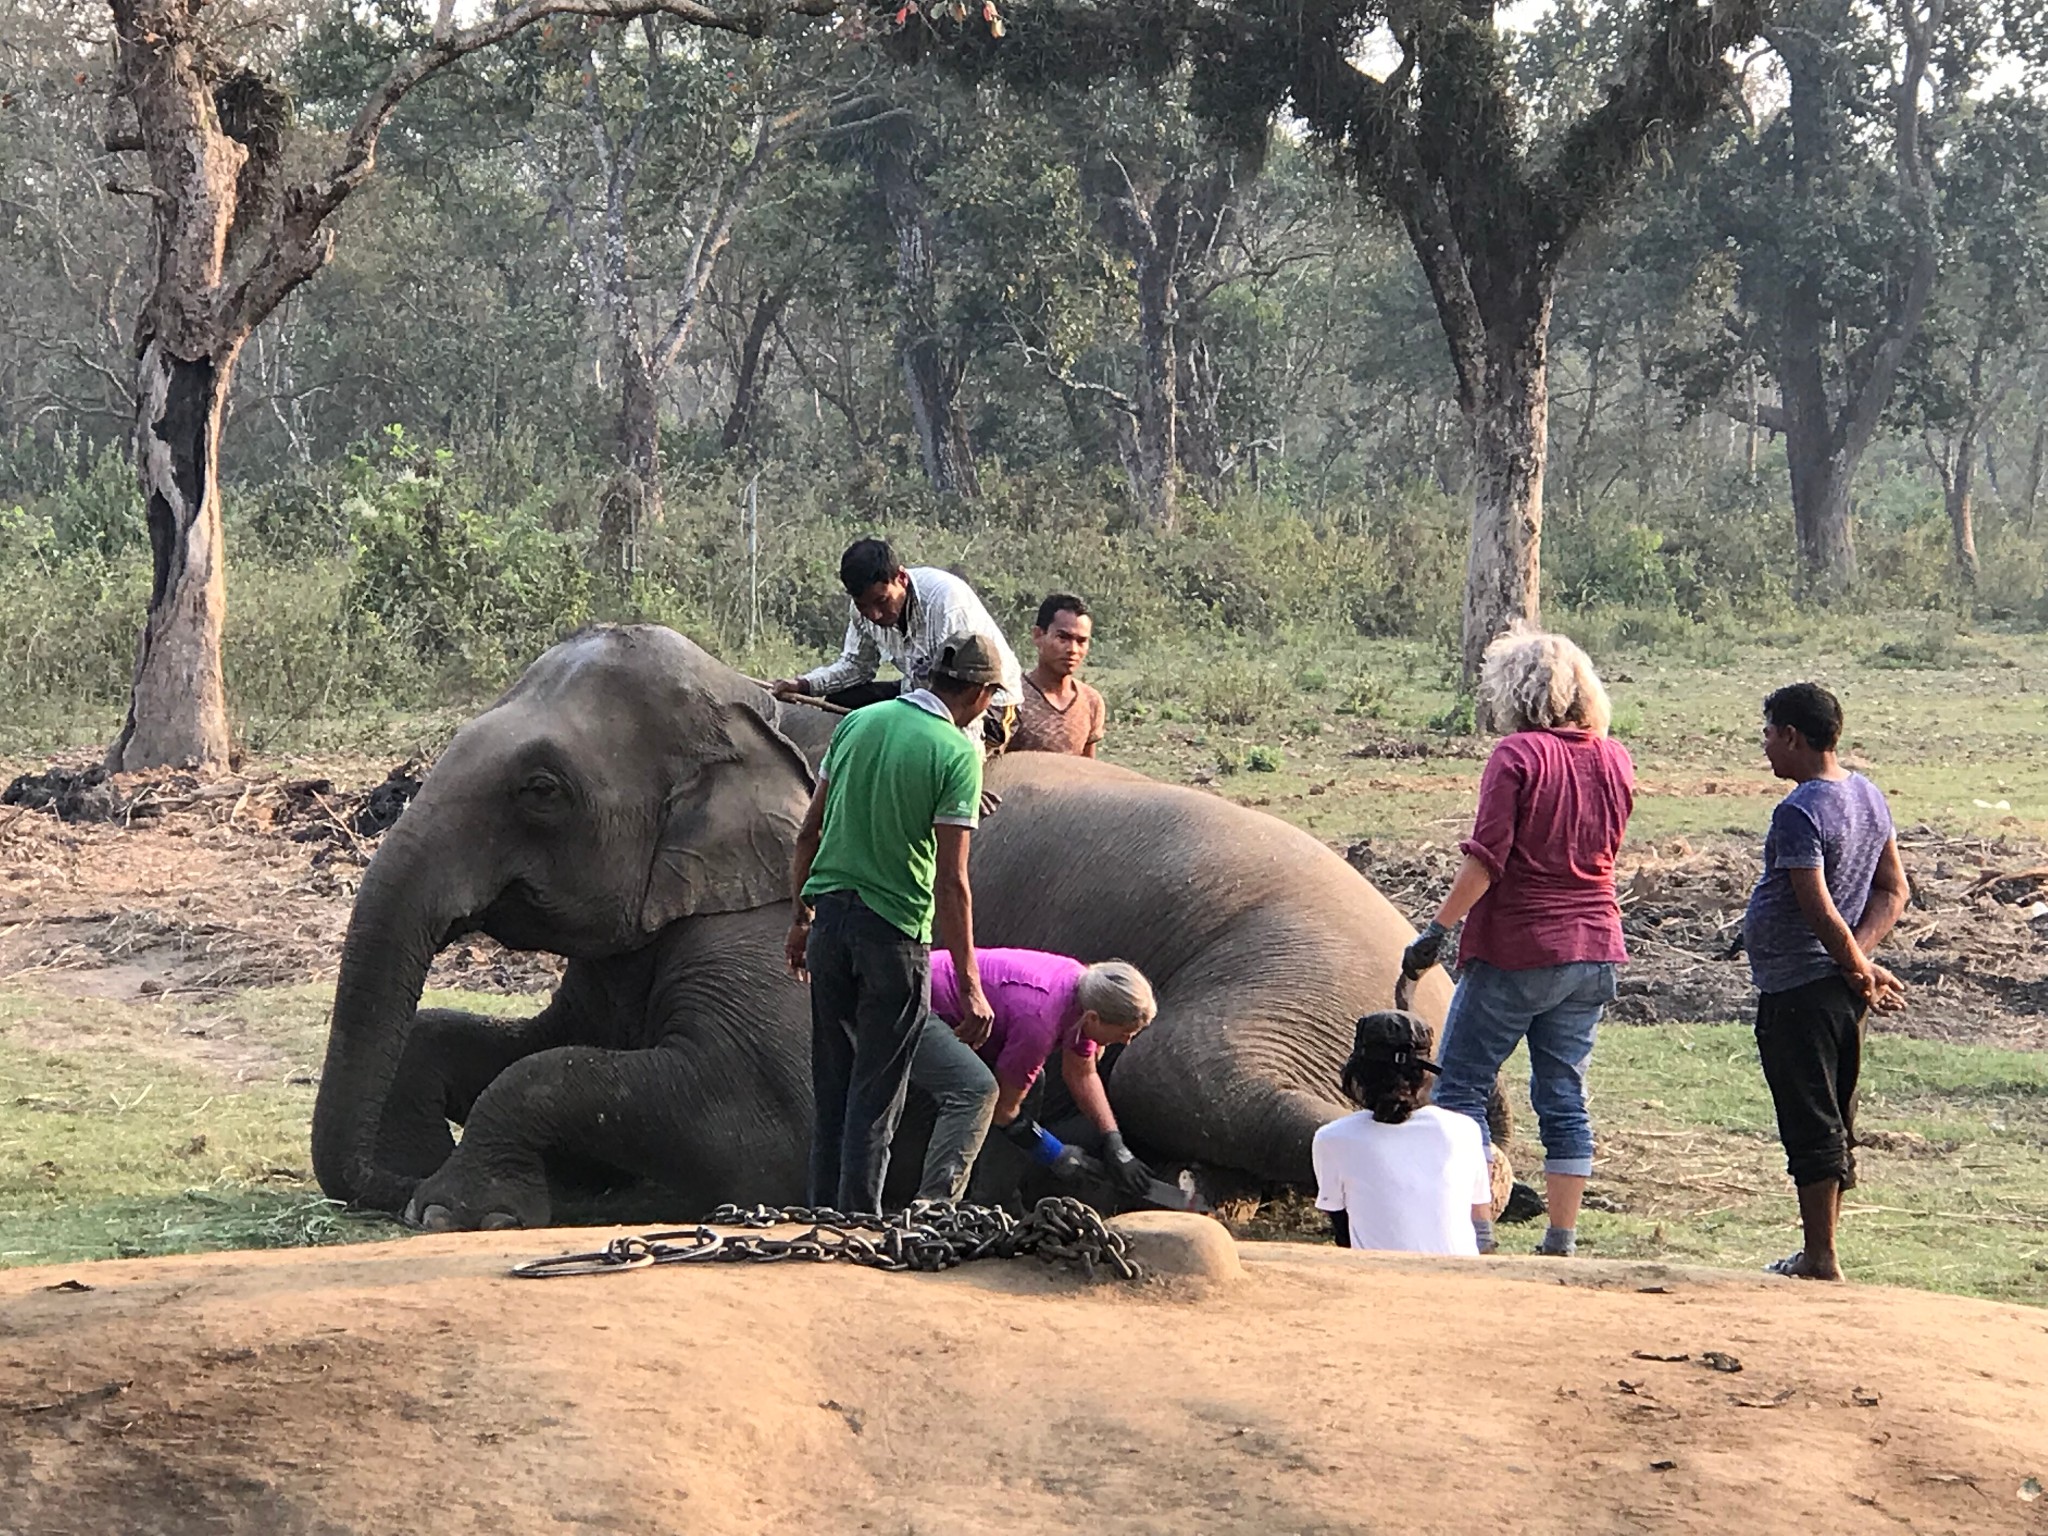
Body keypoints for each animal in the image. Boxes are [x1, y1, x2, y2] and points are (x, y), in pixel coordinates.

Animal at [307, 618, 1458, 1236]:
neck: (751, 708)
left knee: (1193, 1064)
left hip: (1301, 979)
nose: (384, 1186)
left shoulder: (776, 929)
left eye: (541, 790)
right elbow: (516, 1042)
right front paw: (435, 1178)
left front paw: (447, 1209)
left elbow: (742, 1126)